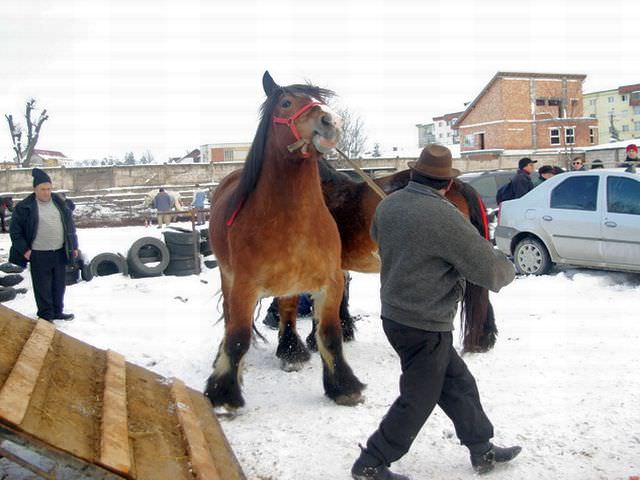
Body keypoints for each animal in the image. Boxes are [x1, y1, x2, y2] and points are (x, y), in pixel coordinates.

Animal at [205, 71, 364, 408]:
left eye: (321, 100)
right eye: (287, 103)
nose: (331, 121)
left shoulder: (330, 284)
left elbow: (330, 335)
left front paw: (343, 387)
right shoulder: (244, 286)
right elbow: (237, 338)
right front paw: (223, 393)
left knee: (288, 310)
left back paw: (291, 351)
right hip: (228, 278)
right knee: (230, 320)